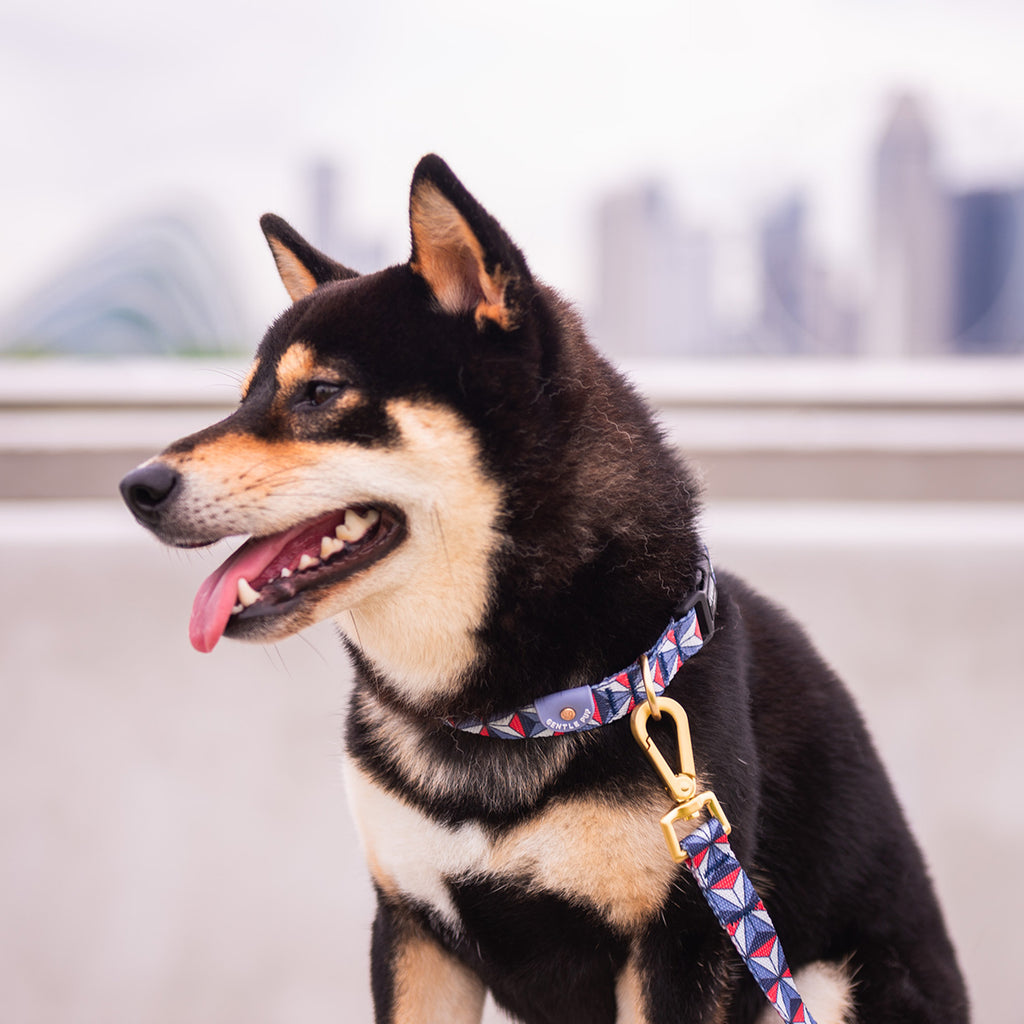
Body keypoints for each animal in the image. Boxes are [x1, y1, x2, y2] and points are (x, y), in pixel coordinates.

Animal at [120, 155, 968, 1023]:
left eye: (320, 393)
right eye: (247, 398)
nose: (138, 486)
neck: (502, 712)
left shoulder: (684, 945)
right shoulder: (413, 930)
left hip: (839, 981)